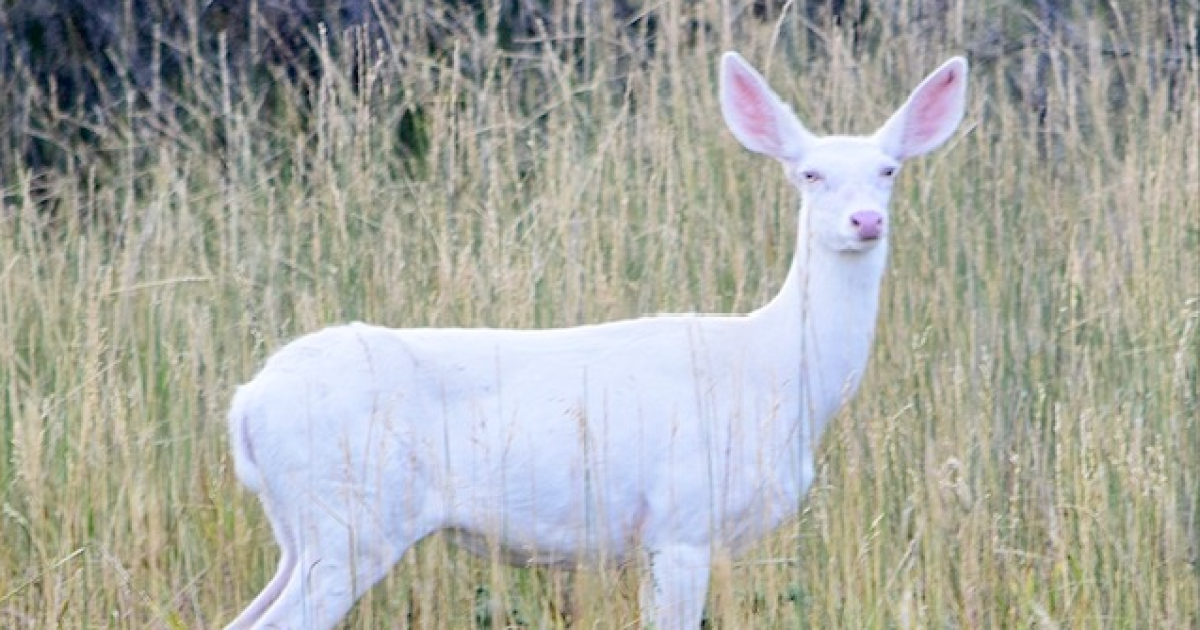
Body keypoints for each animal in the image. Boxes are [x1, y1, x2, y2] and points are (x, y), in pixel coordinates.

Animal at [223, 51, 968, 630]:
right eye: (809, 174)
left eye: (889, 171)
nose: (865, 220)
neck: (779, 369)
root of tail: (247, 404)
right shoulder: (681, 521)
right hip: (350, 517)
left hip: (303, 529)